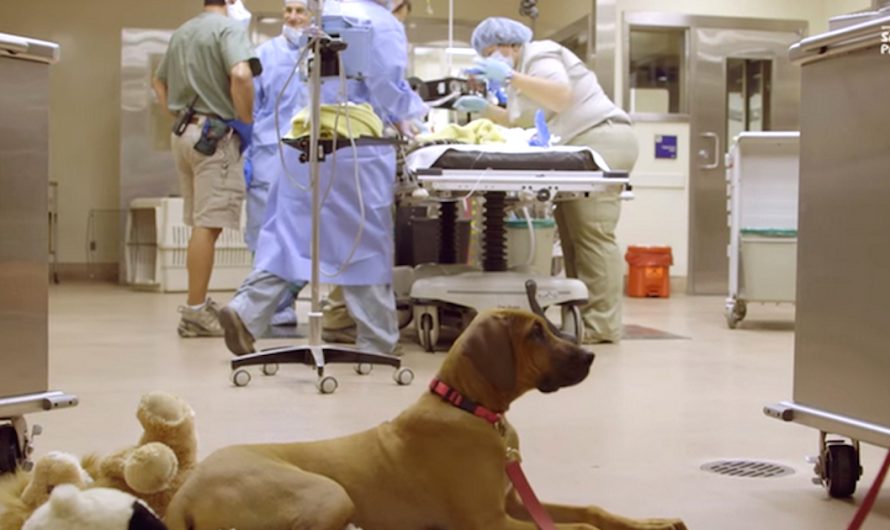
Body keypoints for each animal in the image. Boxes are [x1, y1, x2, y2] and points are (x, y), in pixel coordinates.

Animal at [165, 308, 688, 528]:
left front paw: (654, 524)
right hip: (329, 493)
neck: (469, 406)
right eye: (536, 333)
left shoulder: (512, 503)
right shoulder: (488, 522)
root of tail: (183, 495)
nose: (589, 357)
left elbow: (591, 511)